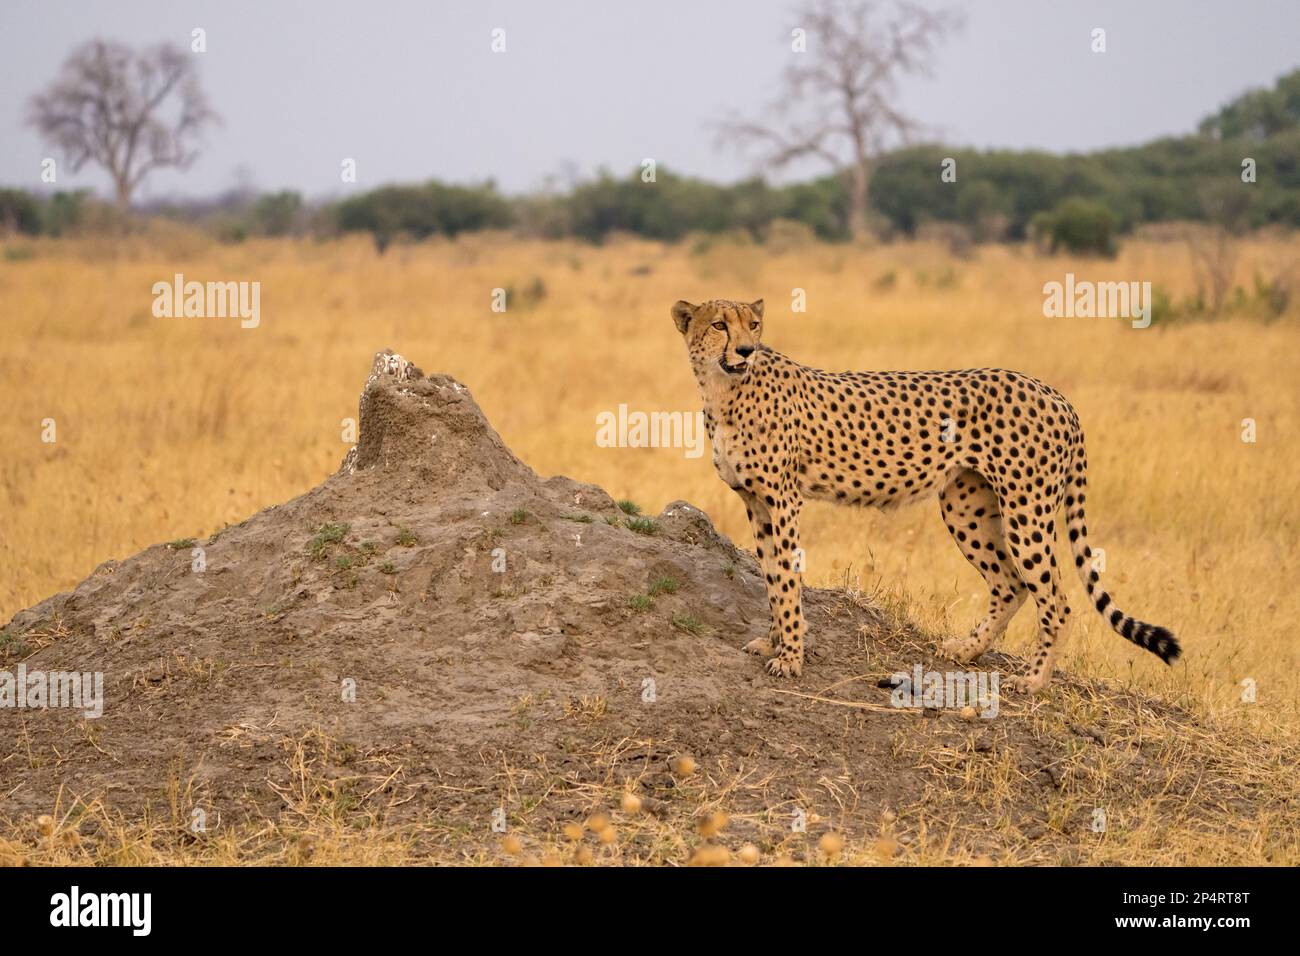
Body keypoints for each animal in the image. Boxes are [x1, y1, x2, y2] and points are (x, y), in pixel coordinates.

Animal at [676, 295, 1185, 691]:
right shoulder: (756, 503)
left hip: (1026, 509)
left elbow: (785, 580)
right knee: (1011, 583)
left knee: (1055, 602)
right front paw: (774, 641)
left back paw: (1035, 679)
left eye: (753, 324)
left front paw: (790, 658)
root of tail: (1055, 393)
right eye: (719, 324)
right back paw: (967, 650)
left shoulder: (784, 501)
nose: (746, 349)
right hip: (966, 506)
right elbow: (770, 577)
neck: (724, 390)